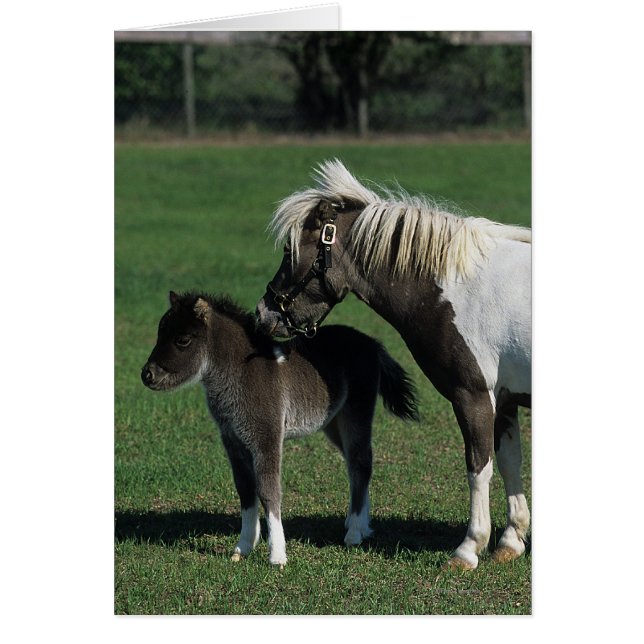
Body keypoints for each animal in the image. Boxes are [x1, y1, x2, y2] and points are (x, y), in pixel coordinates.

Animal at [141, 291, 418, 566]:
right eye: (159, 332)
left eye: (183, 339)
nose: (147, 375)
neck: (240, 373)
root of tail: (371, 343)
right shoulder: (233, 442)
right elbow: (245, 490)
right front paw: (243, 547)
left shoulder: (267, 437)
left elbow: (268, 491)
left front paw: (277, 555)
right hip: (333, 422)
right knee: (355, 463)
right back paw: (358, 523)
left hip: (356, 413)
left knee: (361, 462)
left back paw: (355, 533)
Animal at [256, 159, 531, 570]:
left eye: (291, 251)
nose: (264, 313)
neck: (456, 288)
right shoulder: (506, 400)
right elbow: (510, 462)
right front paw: (510, 542)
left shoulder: (474, 396)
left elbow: (478, 468)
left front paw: (468, 548)